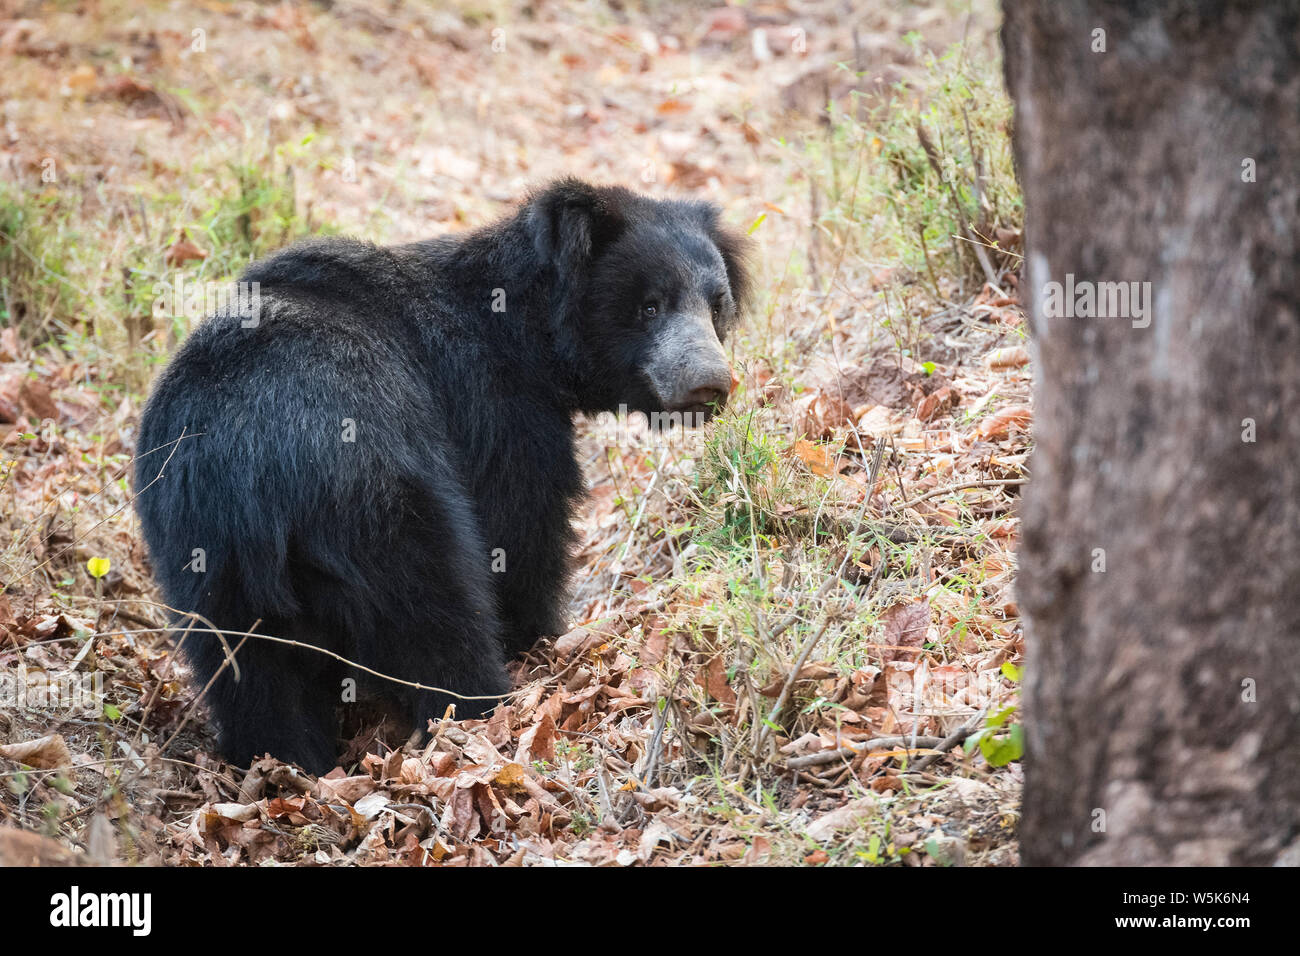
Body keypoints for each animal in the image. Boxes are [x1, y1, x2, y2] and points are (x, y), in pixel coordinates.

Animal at [134, 180, 754, 780]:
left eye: (716, 305)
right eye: (650, 307)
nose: (711, 385)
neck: (530, 329)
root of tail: (252, 459)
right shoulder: (496, 411)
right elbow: (519, 531)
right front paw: (542, 641)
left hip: (204, 550)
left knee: (249, 672)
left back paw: (285, 762)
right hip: (381, 501)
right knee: (433, 614)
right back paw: (479, 711)